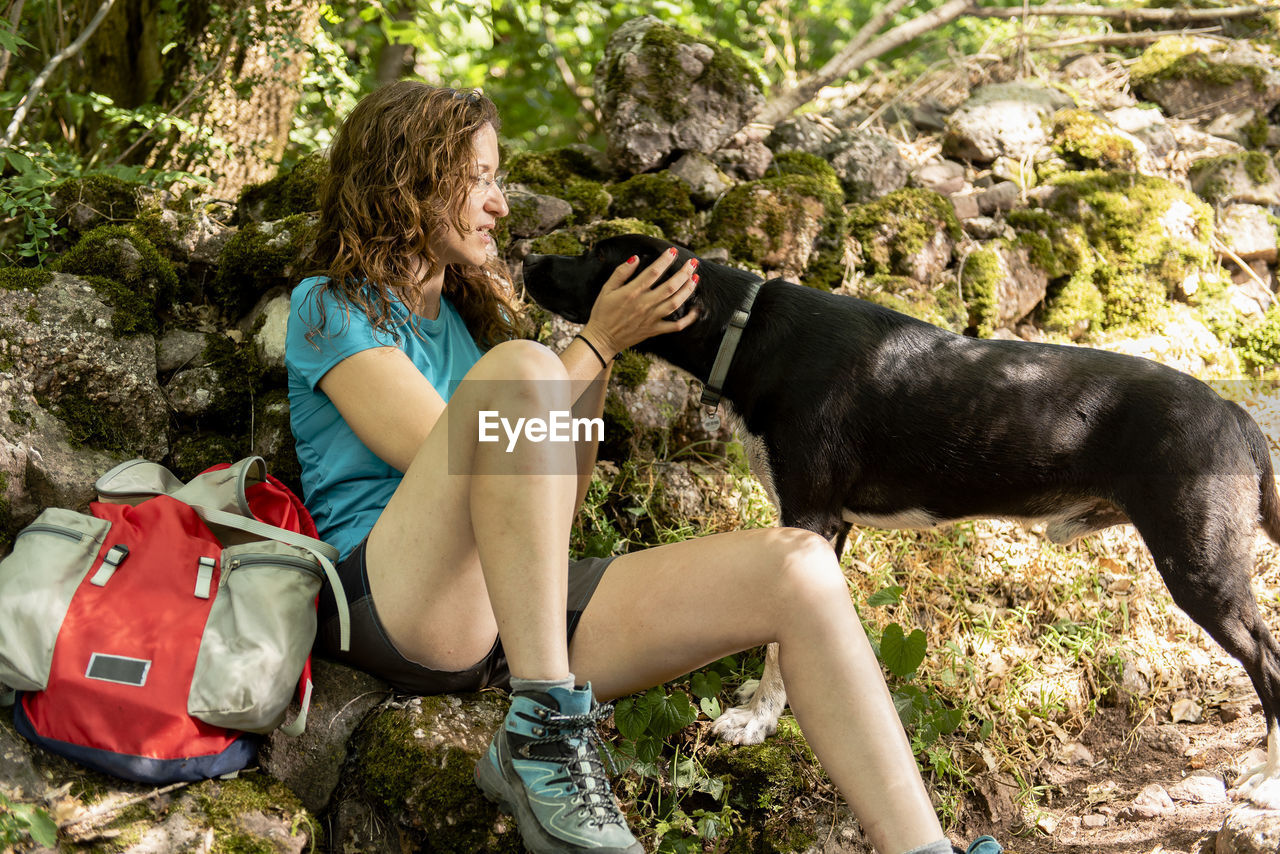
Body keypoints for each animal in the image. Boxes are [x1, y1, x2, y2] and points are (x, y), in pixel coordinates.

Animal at [519, 231, 1280, 804]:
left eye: (596, 254)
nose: (525, 260)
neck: (746, 332)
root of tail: (1235, 415)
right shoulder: (830, 528)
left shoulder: (809, 517)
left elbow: (776, 651)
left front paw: (754, 724)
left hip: (1201, 565)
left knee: (1267, 661)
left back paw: (1267, 775)